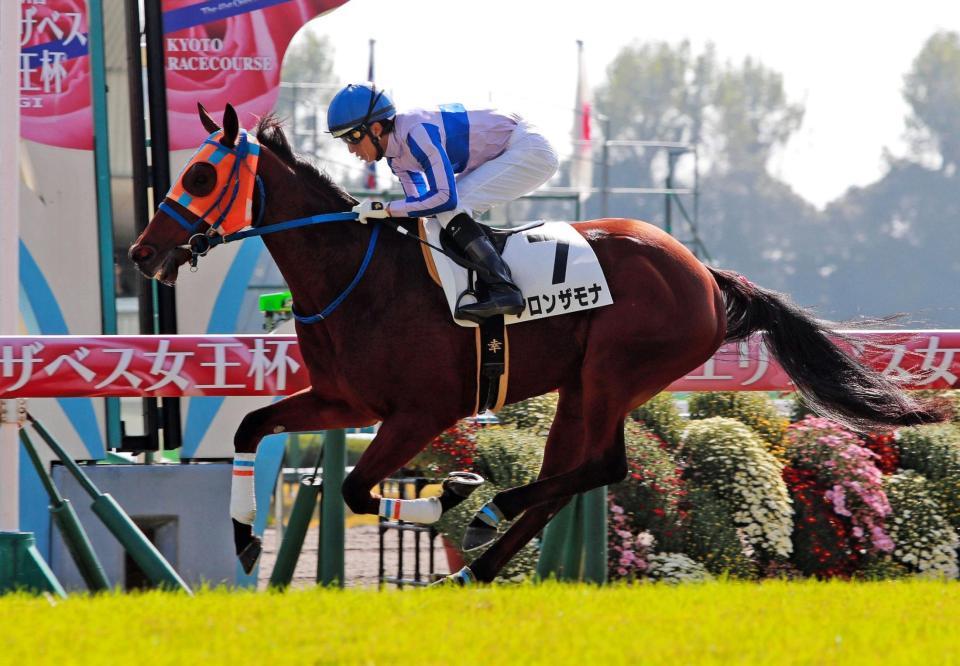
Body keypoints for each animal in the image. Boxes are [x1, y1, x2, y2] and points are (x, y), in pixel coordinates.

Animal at [129, 103, 946, 584]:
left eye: (199, 175)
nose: (142, 252)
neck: (356, 276)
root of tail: (706, 274)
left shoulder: (421, 411)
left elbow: (360, 488)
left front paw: (452, 491)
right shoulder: (341, 399)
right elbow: (250, 427)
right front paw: (241, 538)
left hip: (615, 372)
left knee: (598, 467)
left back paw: (485, 514)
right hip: (584, 385)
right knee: (570, 474)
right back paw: (478, 562)